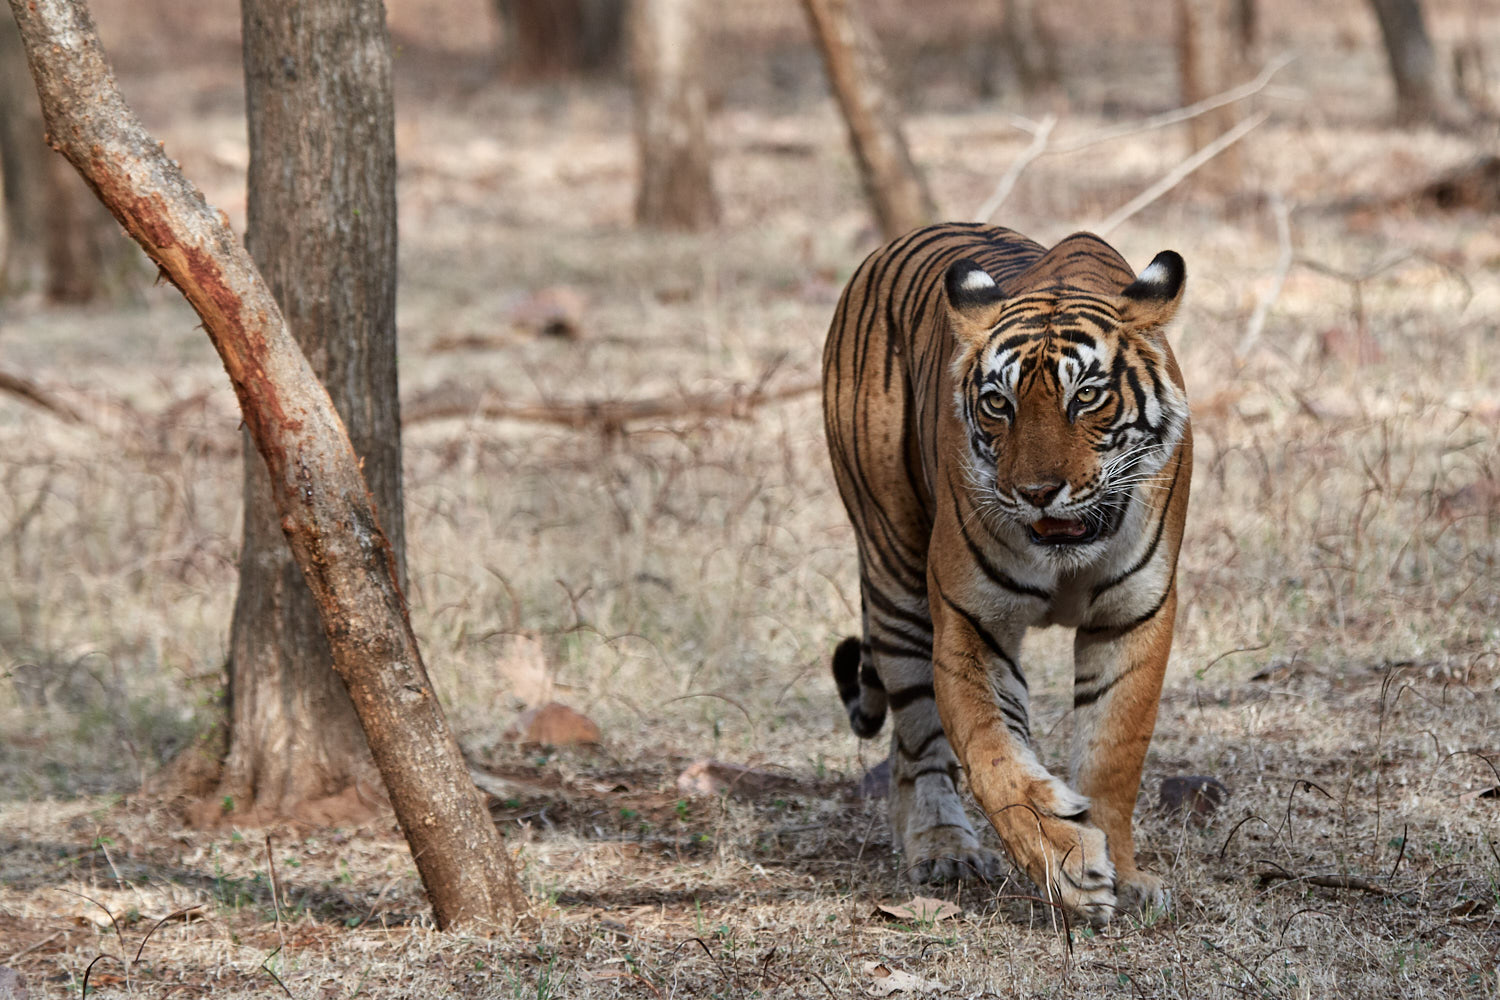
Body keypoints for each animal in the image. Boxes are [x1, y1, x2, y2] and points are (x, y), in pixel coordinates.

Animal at [821, 222, 1191, 927]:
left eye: (1086, 397)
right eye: (998, 404)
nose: (1037, 493)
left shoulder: (1133, 615)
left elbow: (1113, 753)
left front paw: (1125, 875)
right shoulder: (972, 620)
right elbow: (991, 755)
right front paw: (1068, 865)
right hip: (894, 571)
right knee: (918, 739)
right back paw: (943, 847)